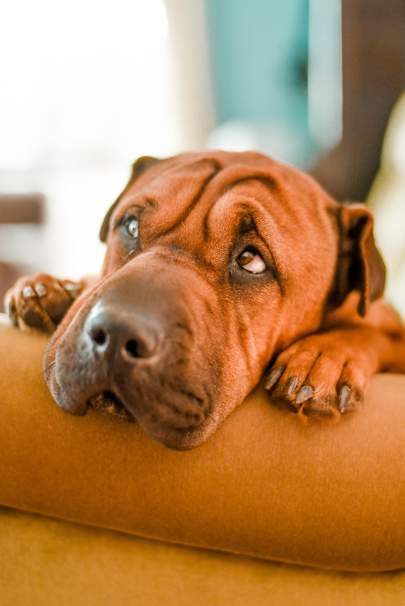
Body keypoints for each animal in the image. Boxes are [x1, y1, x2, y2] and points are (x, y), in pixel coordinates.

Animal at [4, 150, 404, 448]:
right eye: (130, 226)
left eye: (251, 260)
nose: (116, 333)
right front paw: (52, 288)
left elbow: (370, 334)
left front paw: (324, 356)